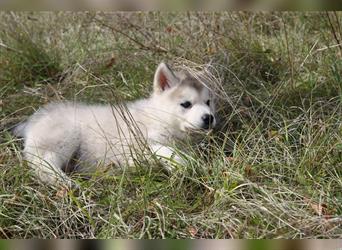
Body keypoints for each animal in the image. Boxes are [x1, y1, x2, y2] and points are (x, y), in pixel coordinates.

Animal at [15, 63, 216, 186]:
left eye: (208, 102)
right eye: (186, 104)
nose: (209, 118)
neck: (158, 116)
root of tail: (34, 120)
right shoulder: (143, 144)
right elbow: (168, 152)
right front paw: (189, 166)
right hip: (65, 138)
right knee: (42, 163)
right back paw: (64, 182)